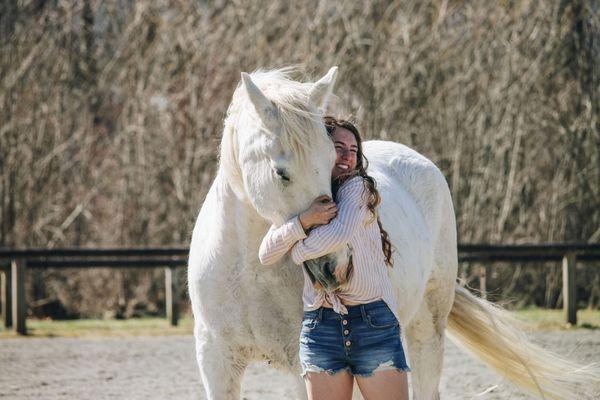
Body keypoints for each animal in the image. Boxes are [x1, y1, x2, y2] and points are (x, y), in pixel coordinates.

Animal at [186, 67, 596, 398]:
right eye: (281, 172)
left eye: (332, 163)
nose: (334, 266)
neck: (250, 269)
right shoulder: (216, 361)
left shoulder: (305, 364)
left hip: (426, 328)